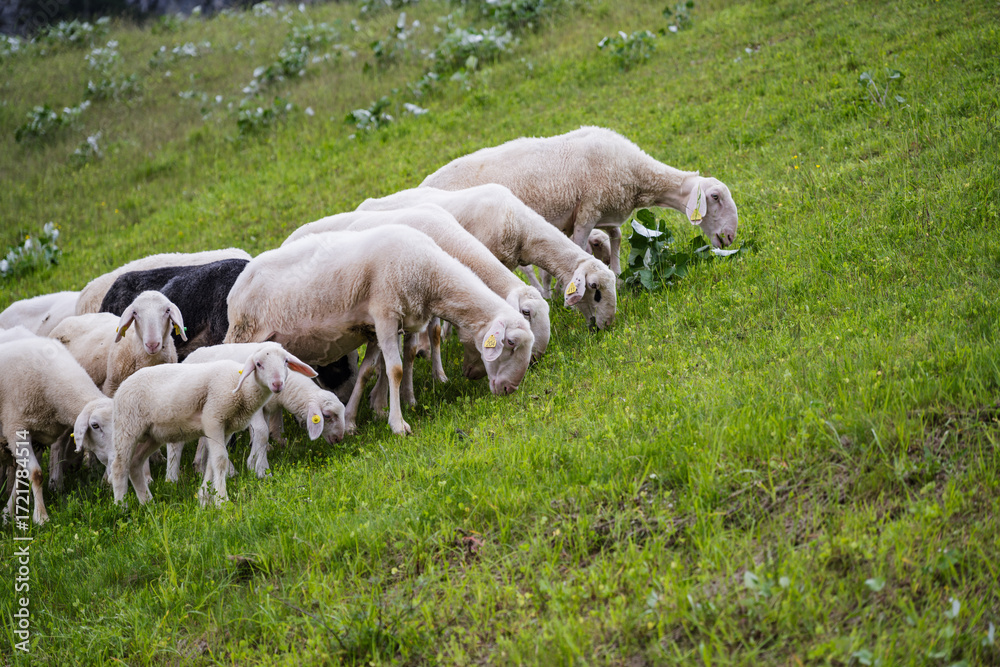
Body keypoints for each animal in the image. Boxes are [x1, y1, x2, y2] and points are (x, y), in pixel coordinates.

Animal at [0, 337, 113, 524]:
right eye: (95, 425)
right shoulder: (15, 428)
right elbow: (36, 474)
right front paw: (41, 517)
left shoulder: (35, 436)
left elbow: (22, 476)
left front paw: (7, 513)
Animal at [109, 342, 317, 506]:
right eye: (258, 364)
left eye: (286, 361)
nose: (277, 384)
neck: (241, 388)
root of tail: (121, 388)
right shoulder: (213, 418)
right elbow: (220, 459)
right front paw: (221, 501)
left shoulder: (226, 428)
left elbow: (211, 461)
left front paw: (205, 498)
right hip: (127, 427)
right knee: (119, 466)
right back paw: (121, 507)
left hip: (152, 434)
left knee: (135, 463)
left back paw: (147, 503)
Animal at [170, 343, 346, 480]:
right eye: (327, 416)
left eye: (286, 361)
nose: (339, 439)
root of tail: (188, 356)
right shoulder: (252, 407)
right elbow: (262, 432)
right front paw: (258, 468)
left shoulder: (266, 410)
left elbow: (262, 435)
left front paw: (259, 464)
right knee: (177, 443)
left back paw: (200, 467)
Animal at [225, 225, 534, 435]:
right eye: (510, 343)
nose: (509, 389)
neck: (428, 272)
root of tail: (239, 282)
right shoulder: (385, 313)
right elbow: (395, 369)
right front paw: (397, 424)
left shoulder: (375, 327)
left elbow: (368, 371)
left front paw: (351, 420)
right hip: (244, 333)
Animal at [420, 125, 740, 275]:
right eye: (715, 197)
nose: (730, 238)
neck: (635, 172)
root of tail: (423, 185)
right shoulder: (588, 209)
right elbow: (580, 246)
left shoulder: (605, 209)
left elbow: (616, 237)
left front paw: (617, 272)